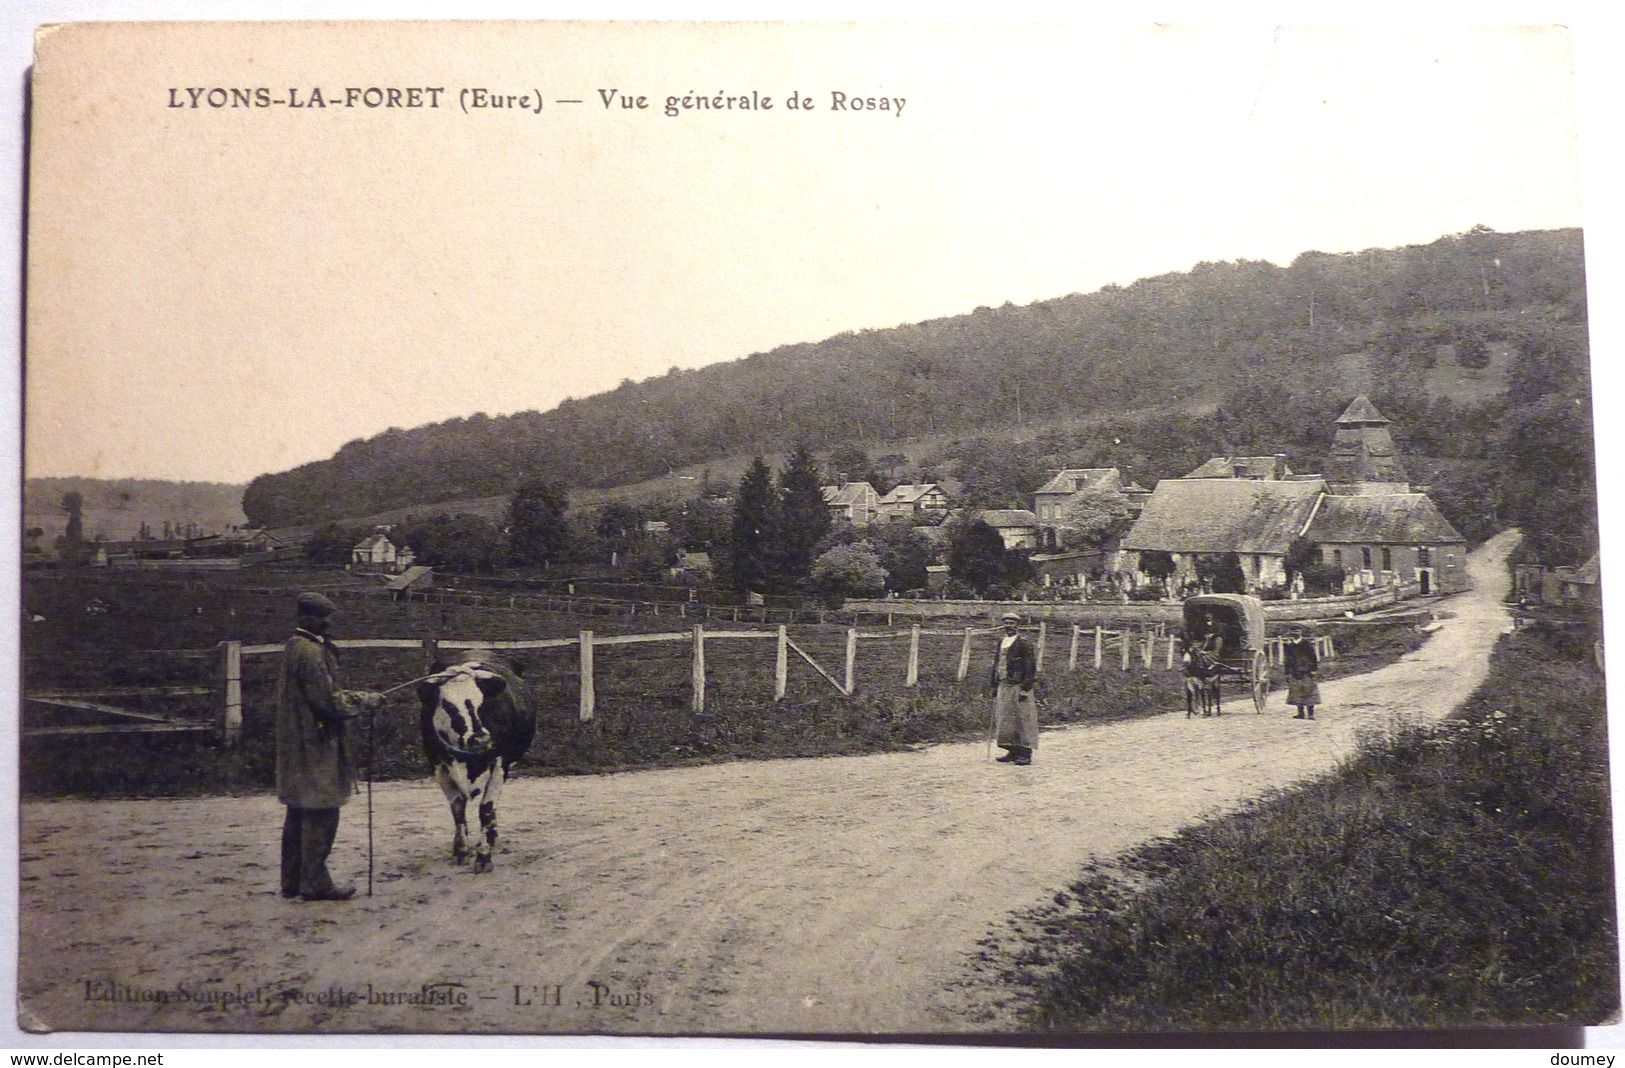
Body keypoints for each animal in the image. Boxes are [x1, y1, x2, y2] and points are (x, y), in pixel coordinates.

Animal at [416, 653, 536, 871]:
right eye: (448, 706)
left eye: (482, 703)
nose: (480, 739)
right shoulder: (437, 765)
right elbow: (457, 809)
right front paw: (461, 850)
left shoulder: (500, 763)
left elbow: (486, 810)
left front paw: (483, 857)